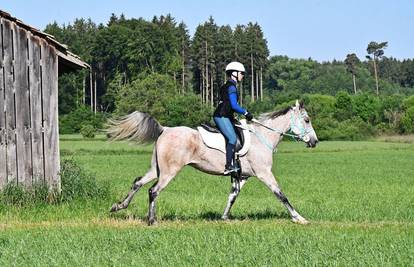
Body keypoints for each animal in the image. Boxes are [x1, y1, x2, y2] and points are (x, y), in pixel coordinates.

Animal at [108, 100, 318, 226]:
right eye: (307, 120)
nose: (315, 142)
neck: (262, 137)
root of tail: (165, 129)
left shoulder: (242, 176)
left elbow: (232, 196)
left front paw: (224, 217)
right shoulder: (264, 174)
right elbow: (281, 195)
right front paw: (299, 218)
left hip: (157, 169)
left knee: (138, 182)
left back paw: (118, 206)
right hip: (169, 171)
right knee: (153, 191)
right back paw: (152, 221)